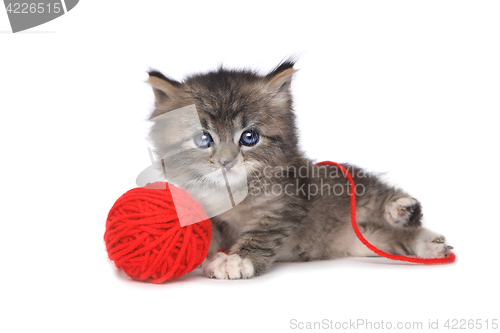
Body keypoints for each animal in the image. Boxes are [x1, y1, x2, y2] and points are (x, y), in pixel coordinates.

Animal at [146, 60, 454, 278]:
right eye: (203, 139)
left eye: (249, 137)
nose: (226, 161)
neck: (233, 193)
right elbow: (208, 232)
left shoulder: (285, 205)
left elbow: (261, 234)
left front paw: (237, 260)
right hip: (366, 241)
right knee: (393, 239)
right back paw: (431, 245)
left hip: (356, 188)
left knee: (386, 201)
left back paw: (402, 211)